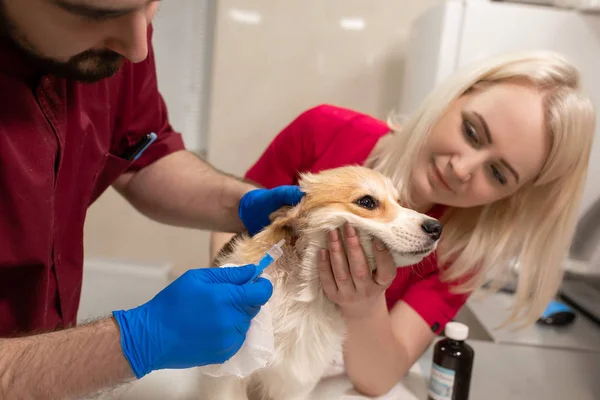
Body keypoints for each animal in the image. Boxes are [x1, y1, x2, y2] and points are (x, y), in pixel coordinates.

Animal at [197, 165, 440, 400]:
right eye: (367, 202)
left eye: (400, 202)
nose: (437, 227)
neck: (305, 296)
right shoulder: (226, 379)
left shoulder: (294, 382)